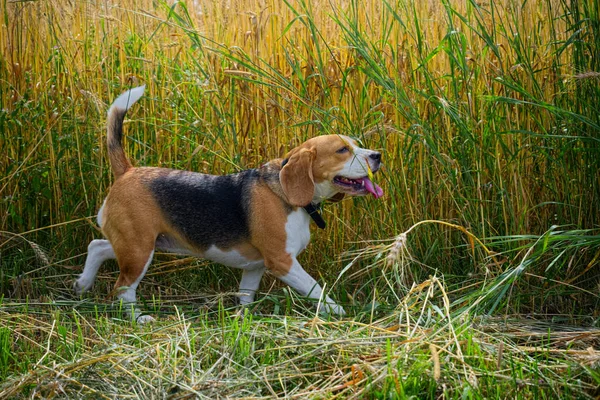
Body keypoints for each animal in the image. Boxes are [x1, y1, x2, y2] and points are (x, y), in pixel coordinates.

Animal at [74, 86, 384, 322]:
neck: (284, 192)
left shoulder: (255, 267)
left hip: (138, 243)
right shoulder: (282, 262)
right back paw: (138, 318)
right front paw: (338, 311)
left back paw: (82, 283)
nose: (377, 155)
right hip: (139, 249)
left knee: (98, 246)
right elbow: (315, 288)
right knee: (122, 288)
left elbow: (246, 297)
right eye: (342, 150)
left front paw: (243, 321)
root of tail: (128, 171)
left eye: (356, 145)